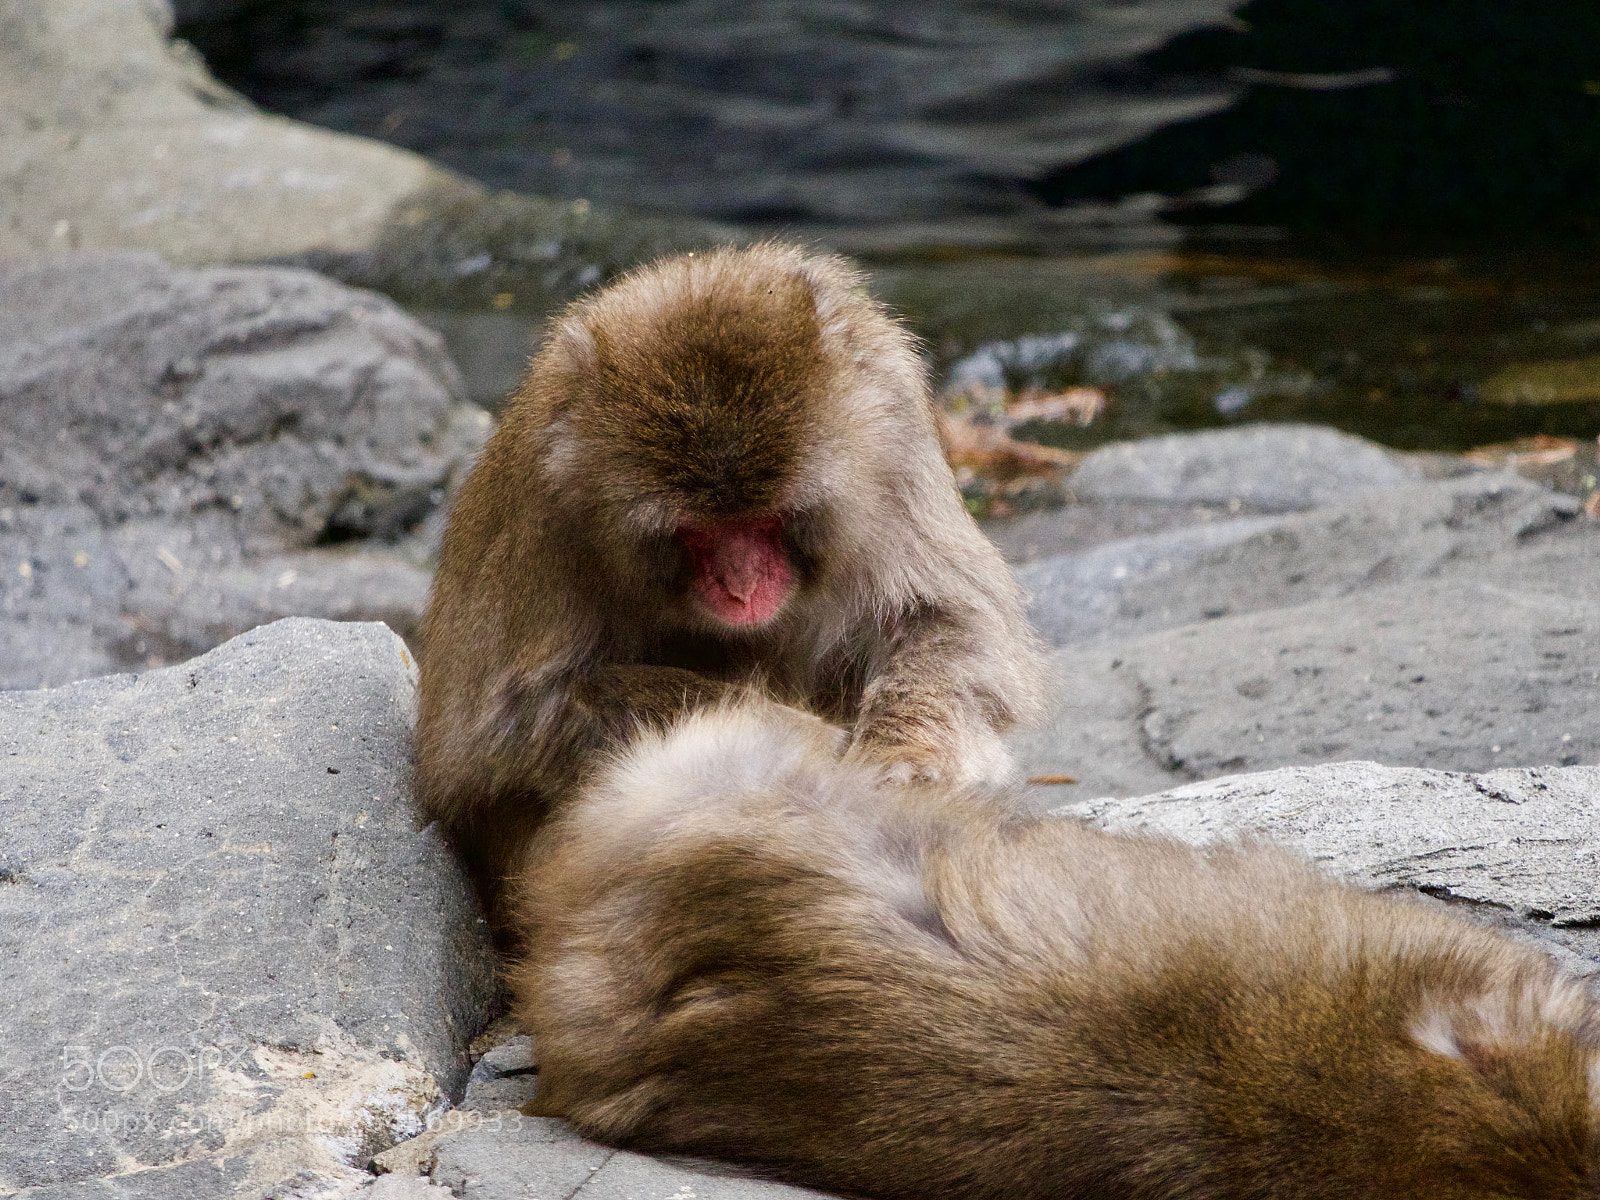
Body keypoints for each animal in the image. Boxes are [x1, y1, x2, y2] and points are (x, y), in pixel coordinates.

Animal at [416, 243, 1044, 915]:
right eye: (696, 533)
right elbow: (509, 726)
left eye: (767, 520)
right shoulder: (543, 504)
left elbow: (947, 619)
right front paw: (792, 738)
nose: (742, 588)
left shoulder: (895, 441)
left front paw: (908, 757)